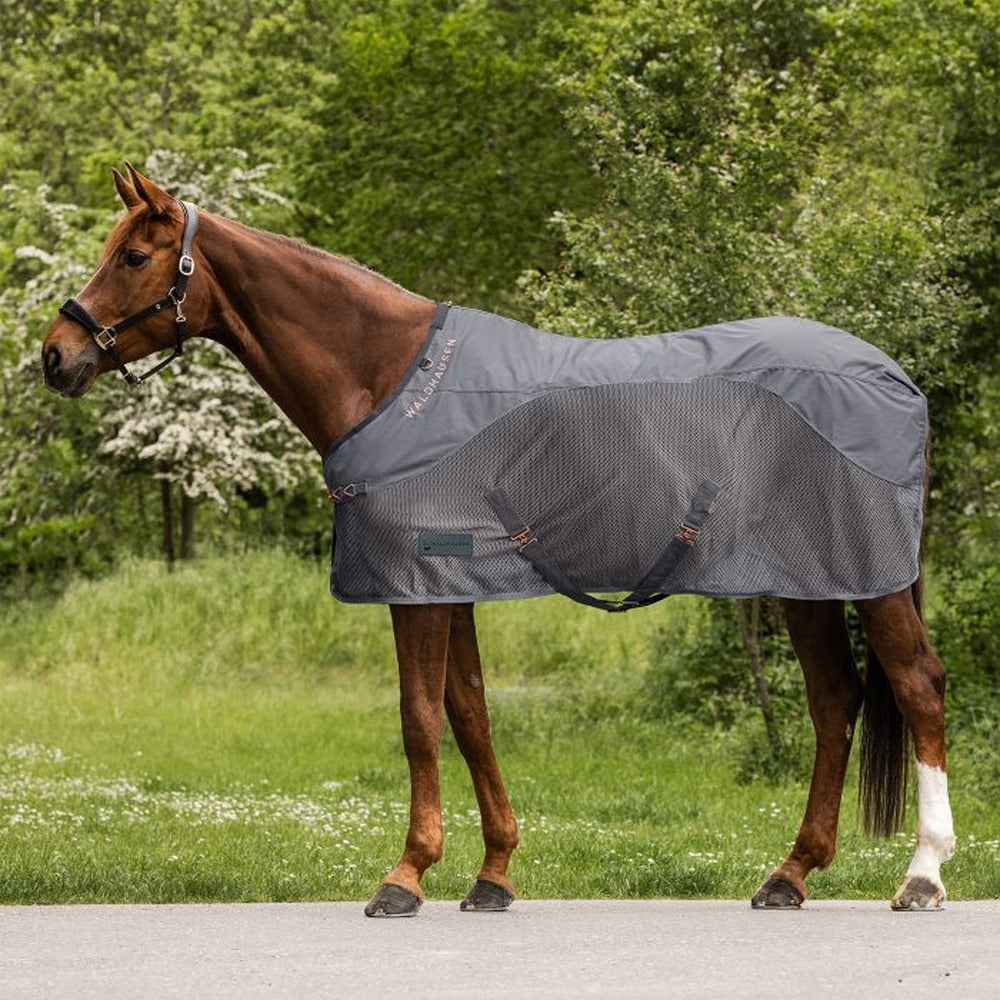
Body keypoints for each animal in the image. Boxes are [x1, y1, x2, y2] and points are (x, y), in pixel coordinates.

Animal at [40, 165, 955, 916]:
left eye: (133, 257)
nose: (56, 355)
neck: (387, 378)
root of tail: (894, 376)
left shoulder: (415, 585)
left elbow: (418, 719)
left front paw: (405, 876)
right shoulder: (452, 586)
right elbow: (471, 714)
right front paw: (493, 874)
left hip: (868, 581)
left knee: (917, 688)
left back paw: (922, 876)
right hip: (806, 582)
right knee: (836, 701)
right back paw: (789, 875)